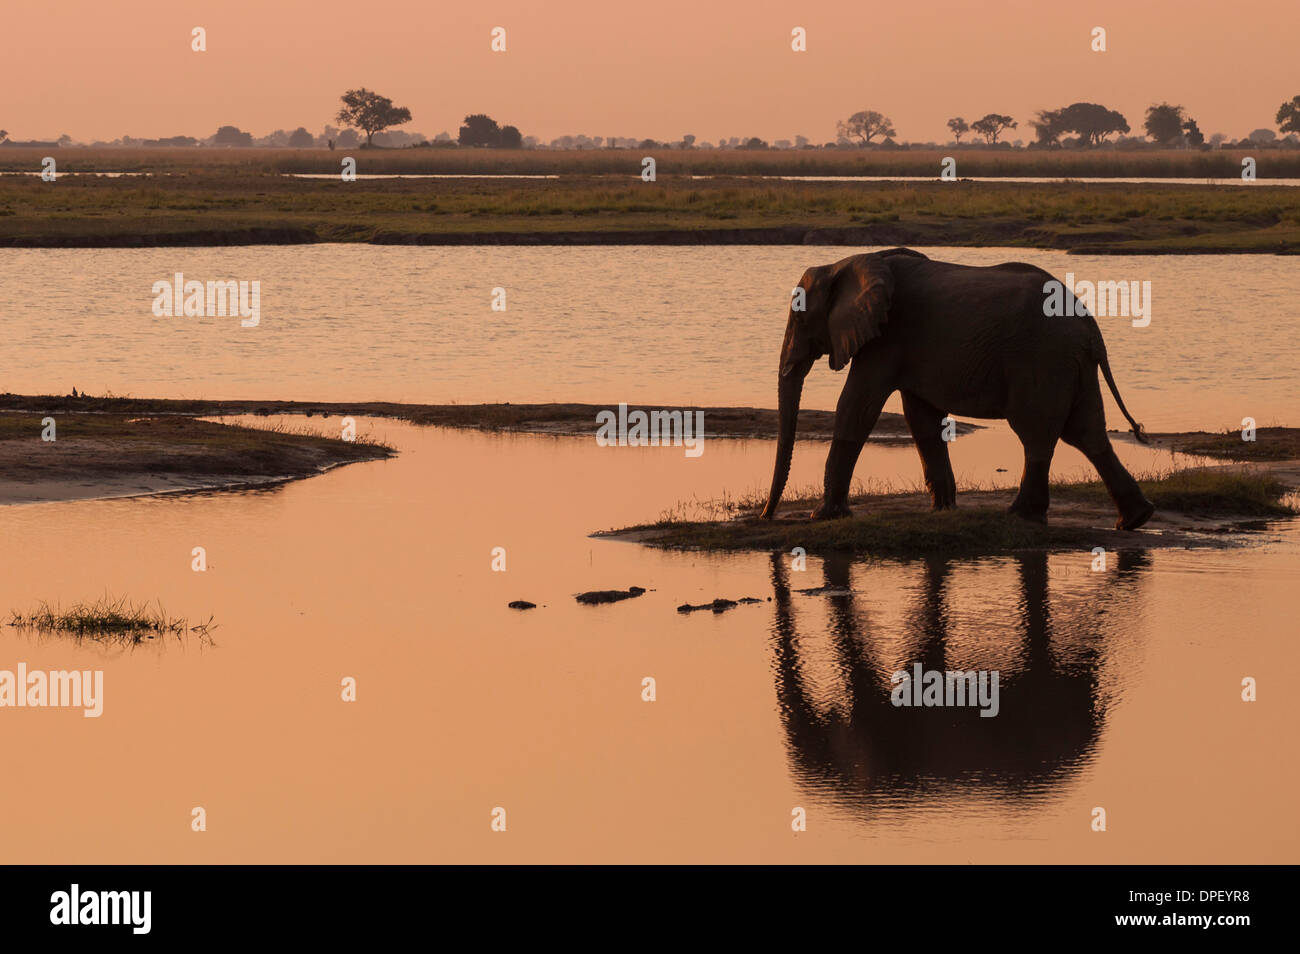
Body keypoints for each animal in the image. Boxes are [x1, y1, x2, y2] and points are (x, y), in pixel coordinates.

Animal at [759, 248, 1159, 530]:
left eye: (799, 316)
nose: (766, 516)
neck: (846, 263)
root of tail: (1089, 324)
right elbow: (921, 419)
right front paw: (941, 511)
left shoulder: (886, 338)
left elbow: (857, 406)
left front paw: (822, 517)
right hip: (1073, 365)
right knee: (1087, 432)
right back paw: (1134, 520)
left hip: (1042, 360)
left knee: (1037, 433)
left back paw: (1020, 516)